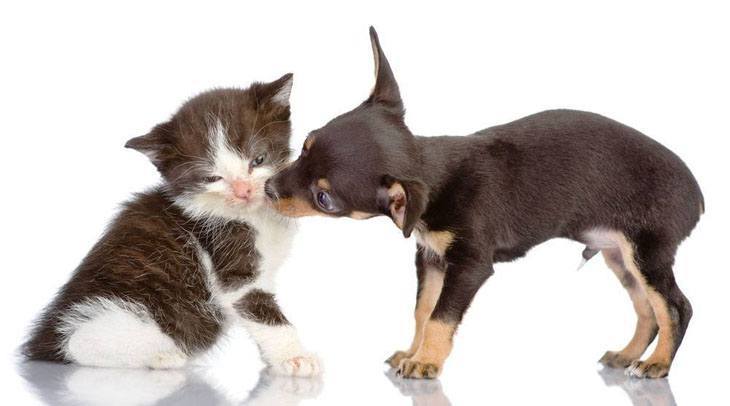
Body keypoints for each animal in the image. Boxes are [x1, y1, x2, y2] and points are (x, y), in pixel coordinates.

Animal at [19, 73, 316, 378]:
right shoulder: (232, 264)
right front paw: (294, 357)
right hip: (120, 311)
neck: (251, 215)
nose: (243, 191)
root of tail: (44, 337)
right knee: (78, 341)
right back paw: (164, 357)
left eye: (258, 160)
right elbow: (261, 310)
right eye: (212, 177)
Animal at [264, 27, 704, 378]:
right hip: (619, 256)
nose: (267, 188)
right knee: (648, 310)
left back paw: (657, 363)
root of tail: (698, 196)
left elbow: (441, 316)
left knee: (675, 307)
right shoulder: (432, 258)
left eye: (324, 198)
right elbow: (423, 310)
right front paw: (413, 351)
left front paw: (427, 362)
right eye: (305, 146)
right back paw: (628, 354)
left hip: (646, 253)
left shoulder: (470, 265)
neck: (435, 180)